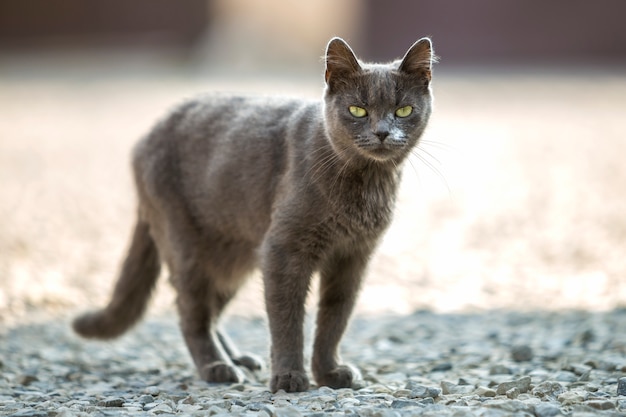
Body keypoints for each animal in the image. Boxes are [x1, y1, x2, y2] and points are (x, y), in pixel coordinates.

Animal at [73, 35, 434, 390]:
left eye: (403, 110)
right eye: (357, 110)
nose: (382, 132)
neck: (366, 185)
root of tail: (151, 131)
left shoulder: (353, 256)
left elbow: (335, 319)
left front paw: (330, 372)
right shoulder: (283, 249)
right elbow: (287, 319)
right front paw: (289, 377)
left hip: (234, 258)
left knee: (212, 310)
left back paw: (236, 359)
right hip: (185, 245)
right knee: (191, 313)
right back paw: (217, 367)